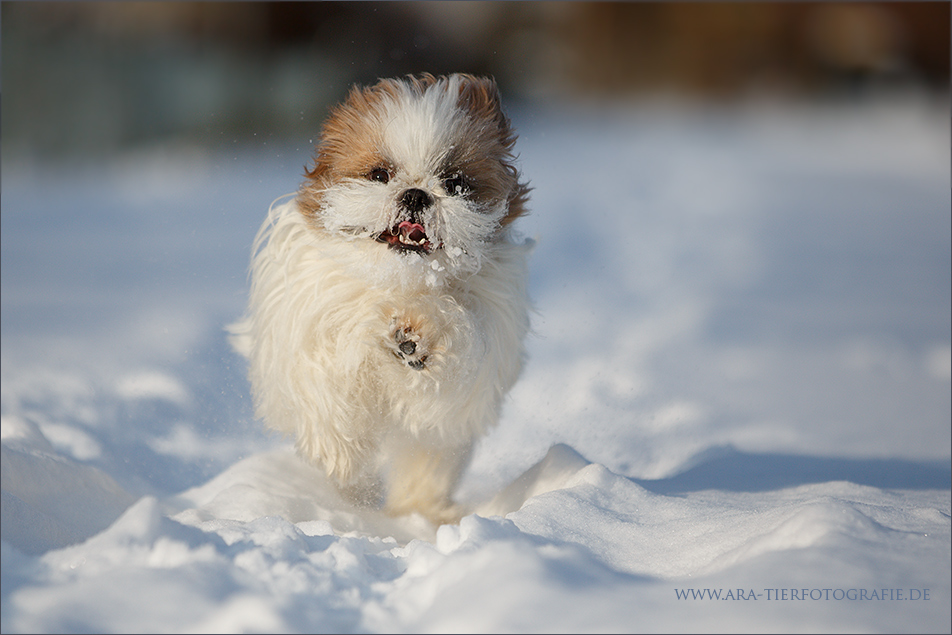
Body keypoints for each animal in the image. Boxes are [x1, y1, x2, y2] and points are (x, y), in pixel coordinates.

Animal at [228, 72, 532, 524]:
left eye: (455, 183)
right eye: (379, 174)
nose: (416, 194)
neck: (397, 286)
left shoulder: (479, 345)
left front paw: (415, 336)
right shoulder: (311, 322)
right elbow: (327, 391)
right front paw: (342, 458)